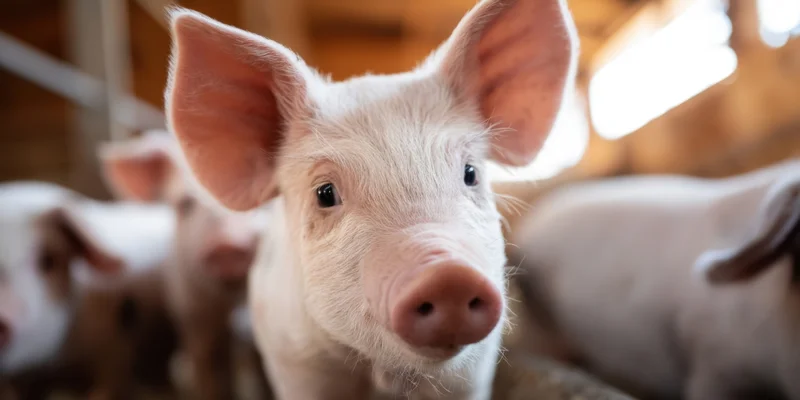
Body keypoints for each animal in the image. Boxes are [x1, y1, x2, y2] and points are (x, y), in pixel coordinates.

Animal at [160, 0, 579, 398]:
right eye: (325, 193)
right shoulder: (295, 362)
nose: (449, 276)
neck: (383, 376)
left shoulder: (473, 370)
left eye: (470, 173)